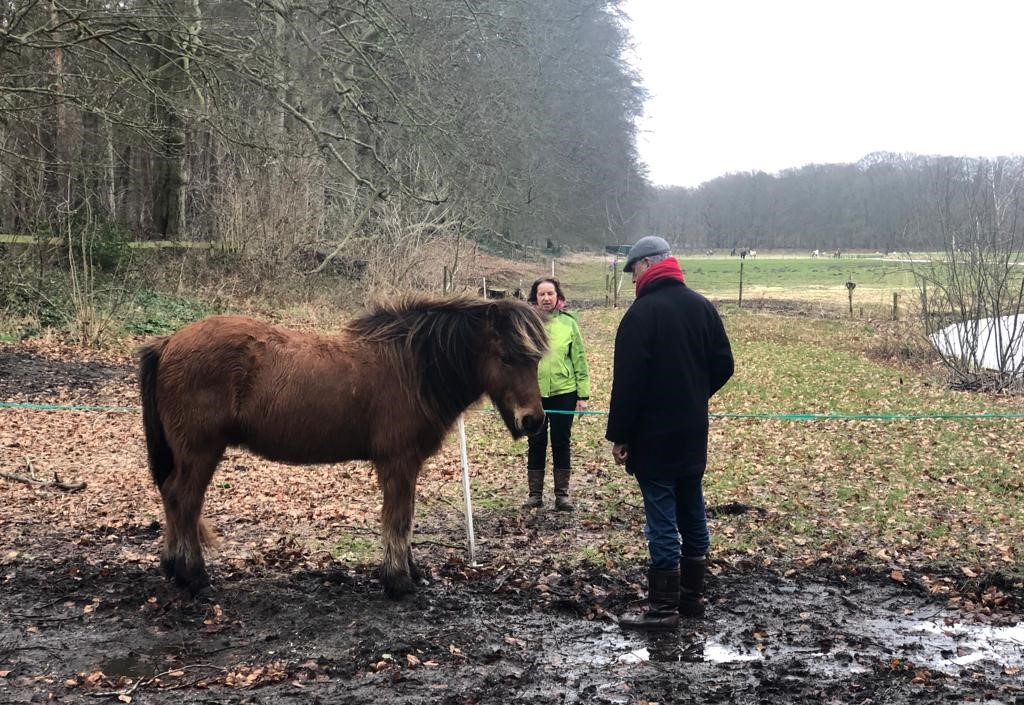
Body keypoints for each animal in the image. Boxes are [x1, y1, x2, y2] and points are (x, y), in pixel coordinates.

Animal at [142, 295, 552, 598]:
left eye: (535, 360)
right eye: (506, 357)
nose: (534, 420)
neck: (411, 367)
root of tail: (168, 343)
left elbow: (405, 518)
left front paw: (411, 572)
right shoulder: (398, 462)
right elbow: (398, 519)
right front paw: (398, 581)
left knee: (172, 496)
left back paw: (173, 567)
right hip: (200, 451)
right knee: (185, 500)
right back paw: (193, 576)